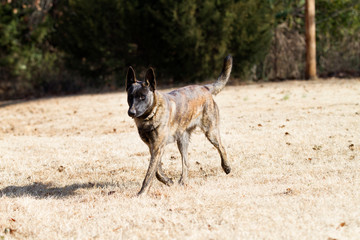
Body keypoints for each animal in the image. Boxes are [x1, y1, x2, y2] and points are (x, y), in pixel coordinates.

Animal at [126, 54, 233, 195]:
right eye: (130, 97)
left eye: (142, 97)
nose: (131, 112)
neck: (152, 114)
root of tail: (204, 88)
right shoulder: (153, 148)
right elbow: (157, 171)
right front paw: (167, 181)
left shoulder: (157, 148)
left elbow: (150, 173)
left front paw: (142, 193)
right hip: (182, 141)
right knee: (186, 163)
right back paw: (182, 181)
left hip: (211, 132)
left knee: (221, 147)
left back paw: (226, 167)